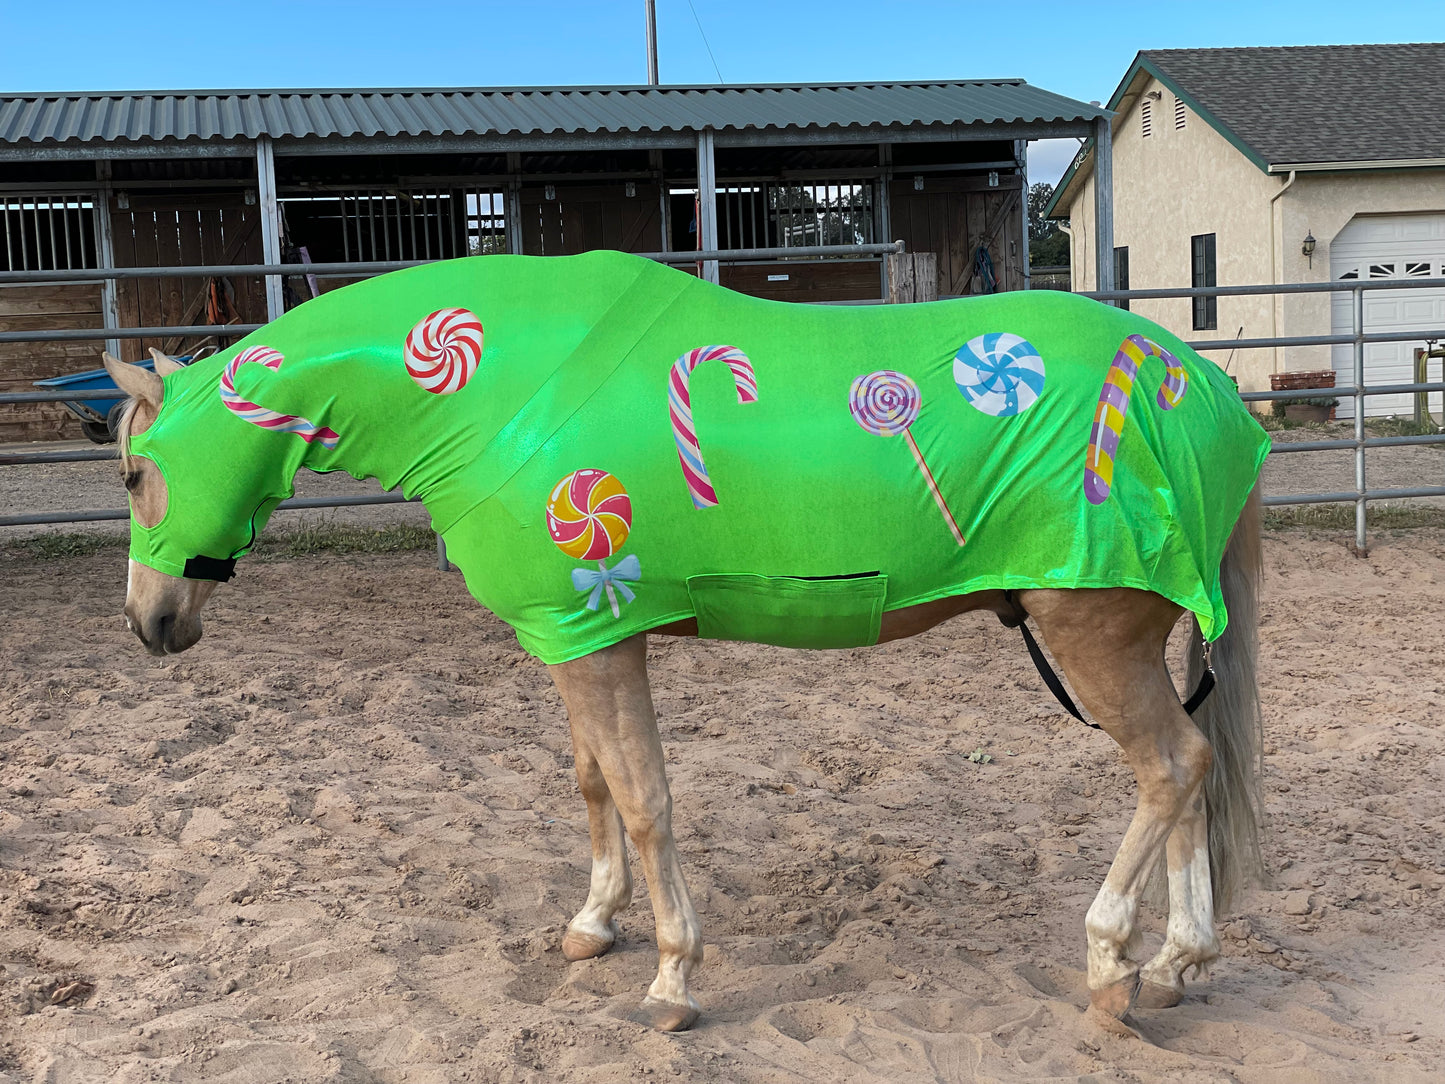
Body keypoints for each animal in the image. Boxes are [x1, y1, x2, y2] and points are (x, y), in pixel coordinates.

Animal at [103, 250, 1267, 1032]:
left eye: (131, 473)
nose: (151, 623)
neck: (501, 393)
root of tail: (1196, 385)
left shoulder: (597, 638)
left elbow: (643, 798)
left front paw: (670, 976)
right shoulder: (573, 638)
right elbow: (592, 784)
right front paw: (592, 924)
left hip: (1092, 636)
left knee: (1171, 768)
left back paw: (1112, 963)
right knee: (1190, 775)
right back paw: (1175, 963)